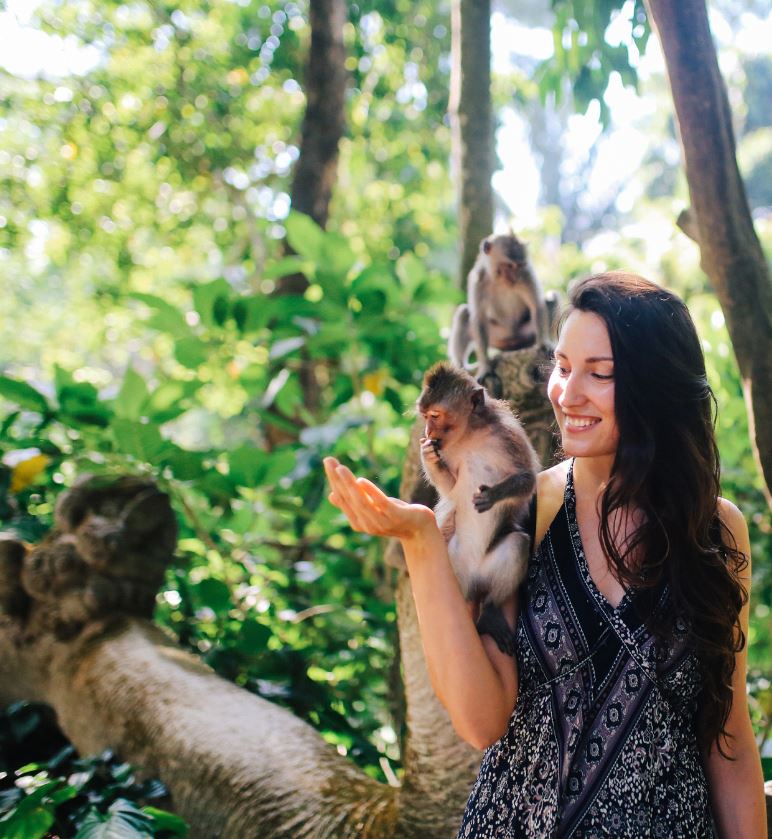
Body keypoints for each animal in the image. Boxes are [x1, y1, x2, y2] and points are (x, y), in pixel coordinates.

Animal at [416, 360, 536, 656]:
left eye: (435, 415)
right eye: (424, 416)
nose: (427, 434)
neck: (471, 434)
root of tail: (470, 583)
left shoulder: (508, 434)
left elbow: (527, 479)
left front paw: (492, 495)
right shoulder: (448, 451)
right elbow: (451, 489)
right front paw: (427, 455)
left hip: (483, 573)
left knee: (517, 544)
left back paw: (490, 612)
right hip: (451, 565)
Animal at [450, 233, 552, 398]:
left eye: (520, 266)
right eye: (509, 266)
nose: (514, 278)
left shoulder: (526, 274)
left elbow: (537, 305)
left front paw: (544, 343)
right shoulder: (478, 280)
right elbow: (479, 318)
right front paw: (485, 366)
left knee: (551, 299)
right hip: (498, 336)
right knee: (464, 314)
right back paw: (460, 365)